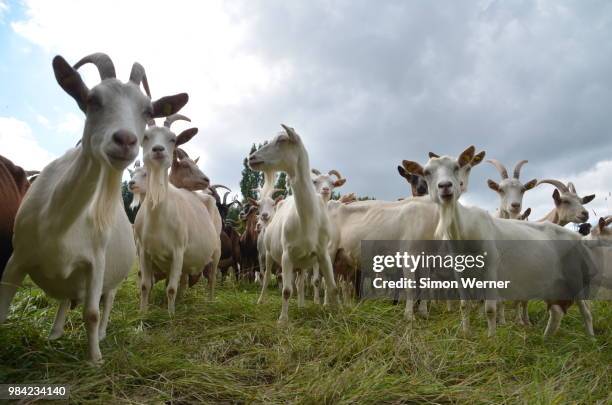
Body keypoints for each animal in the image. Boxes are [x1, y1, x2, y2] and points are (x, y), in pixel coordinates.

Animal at [0, 52, 189, 360]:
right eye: (92, 99)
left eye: (147, 110)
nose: (125, 140)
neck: (59, 223)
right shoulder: (17, 258)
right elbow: (3, 311)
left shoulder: (96, 262)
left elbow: (91, 313)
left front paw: (95, 360)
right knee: (65, 300)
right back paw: (55, 334)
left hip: (113, 275)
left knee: (107, 300)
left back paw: (100, 334)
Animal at [135, 115, 221, 314]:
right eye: (145, 136)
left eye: (172, 138)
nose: (158, 149)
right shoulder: (144, 252)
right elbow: (145, 285)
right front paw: (143, 313)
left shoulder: (178, 252)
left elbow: (171, 288)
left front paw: (170, 315)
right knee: (184, 280)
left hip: (216, 251)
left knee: (211, 278)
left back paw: (210, 302)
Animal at [246, 124, 338, 322]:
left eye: (282, 140)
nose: (251, 158)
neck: (308, 219)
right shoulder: (286, 254)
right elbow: (287, 290)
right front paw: (282, 320)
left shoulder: (323, 253)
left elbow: (332, 287)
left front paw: (337, 313)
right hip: (268, 255)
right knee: (266, 277)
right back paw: (261, 300)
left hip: (302, 262)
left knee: (301, 282)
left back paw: (302, 305)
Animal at [404, 148, 596, 338]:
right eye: (426, 172)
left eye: (456, 167)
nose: (445, 186)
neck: (467, 230)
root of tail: (575, 237)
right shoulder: (459, 273)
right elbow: (464, 305)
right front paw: (466, 333)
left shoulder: (490, 270)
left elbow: (490, 308)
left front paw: (492, 338)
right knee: (556, 310)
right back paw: (546, 338)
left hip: (573, 276)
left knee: (585, 310)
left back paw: (591, 338)